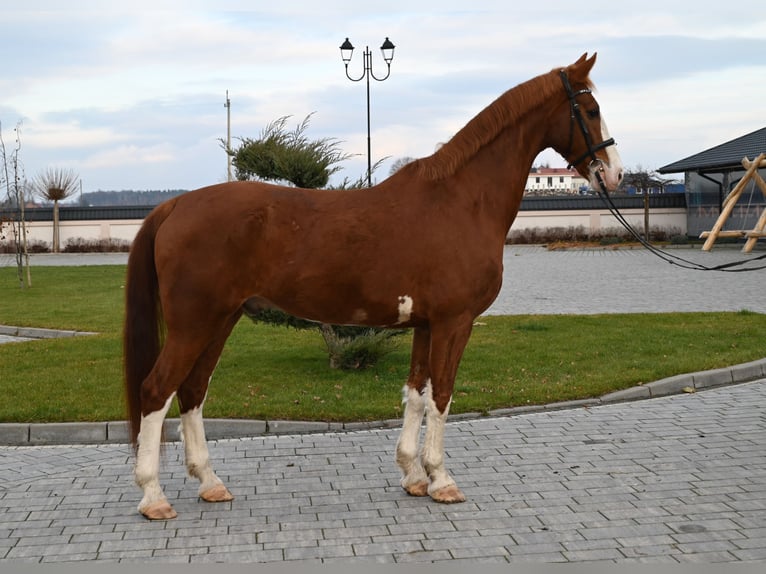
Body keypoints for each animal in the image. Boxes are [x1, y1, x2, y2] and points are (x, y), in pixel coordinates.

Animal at [121, 54, 624, 520]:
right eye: (591, 109)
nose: (615, 173)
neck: (462, 200)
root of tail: (175, 205)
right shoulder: (454, 322)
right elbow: (442, 395)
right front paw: (442, 481)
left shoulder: (425, 324)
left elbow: (416, 394)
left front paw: (413, 476)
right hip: (194, 323)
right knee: (156, 391)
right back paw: (154, 497)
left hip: (221, 319)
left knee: (192, 391)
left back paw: (210, 484)